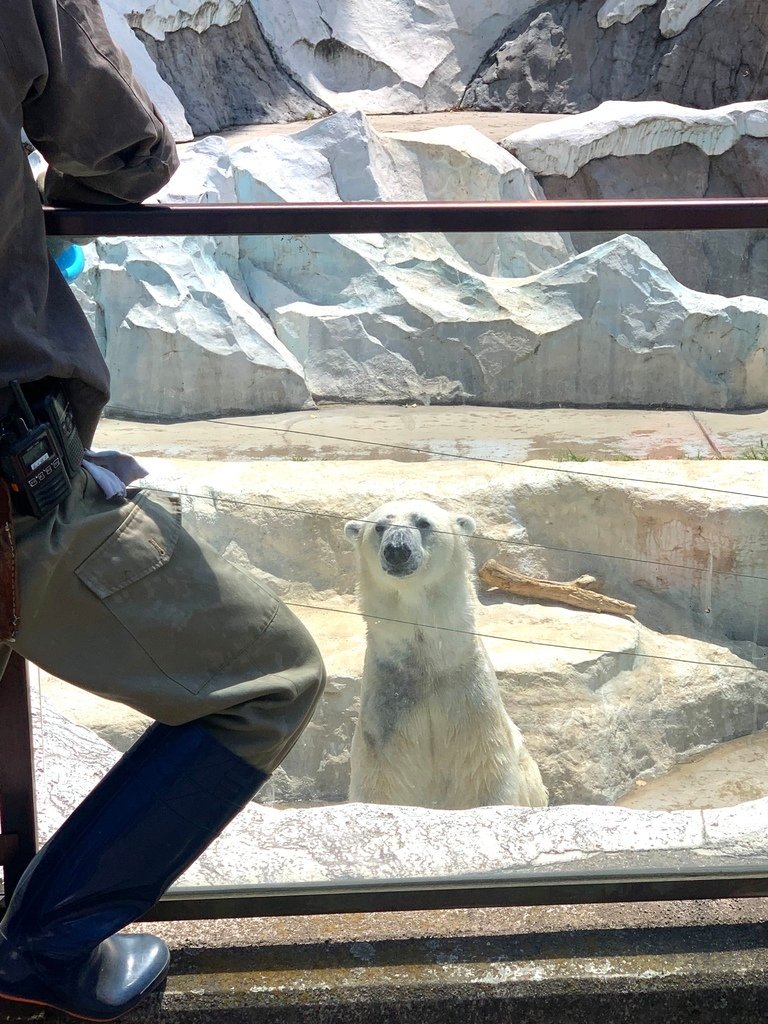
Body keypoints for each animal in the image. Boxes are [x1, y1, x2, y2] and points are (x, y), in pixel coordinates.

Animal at [342, 499, 548, 811]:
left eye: (423, 522)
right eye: (379, 527)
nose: (397, 549)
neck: (427, 662)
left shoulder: (471, 706)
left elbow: (486, 774)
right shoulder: (386, 710)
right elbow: (384, 781)